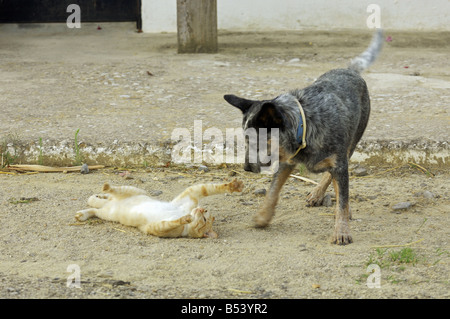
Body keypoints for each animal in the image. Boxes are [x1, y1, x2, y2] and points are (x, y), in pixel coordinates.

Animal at [74, 179, 243, 239]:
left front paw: (185, 219)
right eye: (207, 214)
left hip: (107, 213)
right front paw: (233, 186)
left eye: (205, 218)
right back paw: (104, 189)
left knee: (95, 210)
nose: (201, 209)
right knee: (109, 192)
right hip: (132, 190)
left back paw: (82, 214)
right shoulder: (191, 195)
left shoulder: (157, 228)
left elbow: (170, 223)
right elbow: (207, 188)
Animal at [225, 30, 384, 246]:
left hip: (352, 142)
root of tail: (349, 70)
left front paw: (341, 231)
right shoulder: (286, 161)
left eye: (259, 141)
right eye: (246, 140)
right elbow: (273, 190)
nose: (246, 168)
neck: (305, 126)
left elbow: (342, 200)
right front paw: (263, 216)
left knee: (336, 178)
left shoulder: (339, 162)